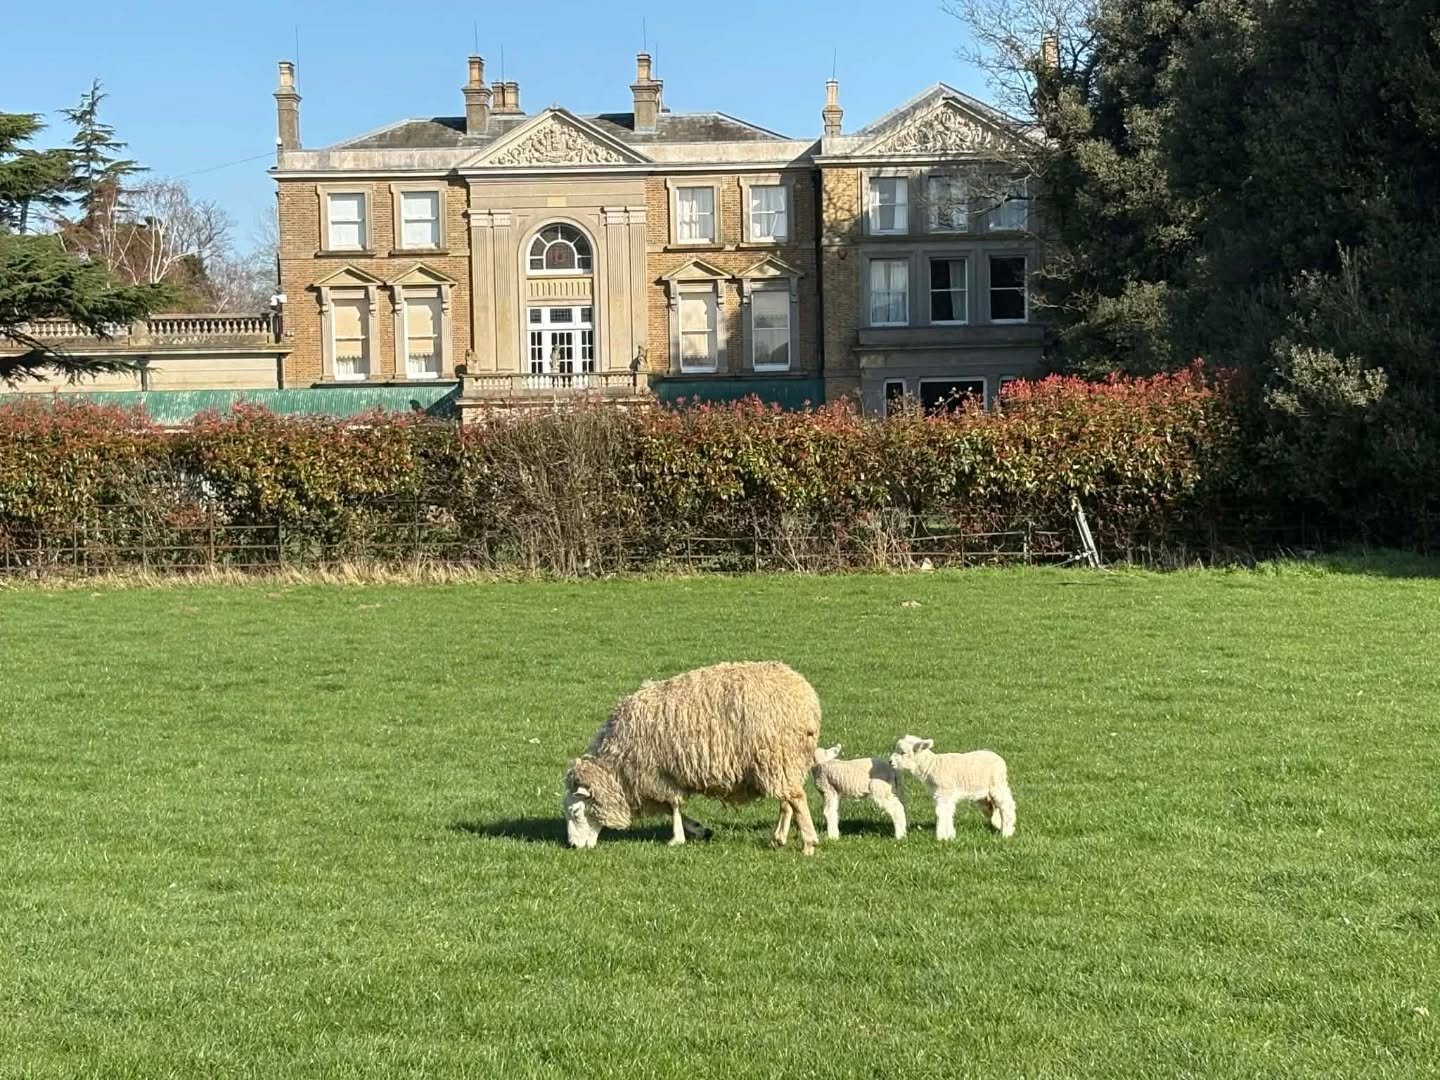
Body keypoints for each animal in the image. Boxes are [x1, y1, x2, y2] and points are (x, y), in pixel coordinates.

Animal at [563, 661, 823, 855]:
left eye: (575, 812)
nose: (573, 846)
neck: (617, 768)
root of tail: (806, 696)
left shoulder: (658, 775)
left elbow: (674, 807)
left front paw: (678, 838)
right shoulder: (658, 779)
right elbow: (672, 808)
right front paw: (699, 830)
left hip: (777, 756)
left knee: (797, 799)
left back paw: (809, 843)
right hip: (784, 761)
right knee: (787, 801)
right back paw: (779, 838)